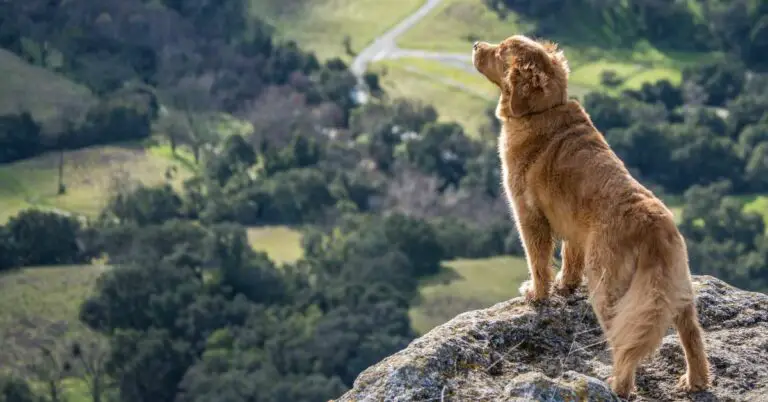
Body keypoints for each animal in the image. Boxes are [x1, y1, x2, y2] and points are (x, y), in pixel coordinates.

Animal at [472, 35, 712, 398]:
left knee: (626, 343)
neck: (544, 109)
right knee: (692, 336)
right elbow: (569, 257)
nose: (475, 45)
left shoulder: (529, 215)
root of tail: (653, 226)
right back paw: (695, 380)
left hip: (607, 287)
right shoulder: (573, 226)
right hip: (676, 288)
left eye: (500, 51)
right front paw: (566, 285)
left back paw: (618, 385)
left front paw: (537, 293)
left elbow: (538, 260)